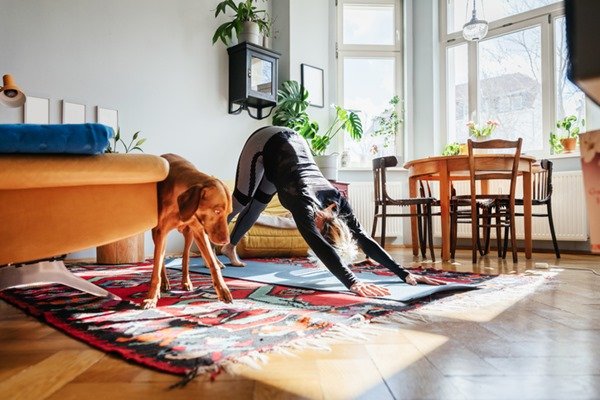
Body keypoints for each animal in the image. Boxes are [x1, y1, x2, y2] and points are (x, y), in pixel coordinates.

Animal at [142, 154, 232, 310]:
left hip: (189, 234)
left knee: (185, 257)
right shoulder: (161, 232)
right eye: (217, 211)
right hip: (157, 234)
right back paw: (164, 282)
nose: (226, 241)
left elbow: (213, 264)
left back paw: (186, 281)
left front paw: (223, 289)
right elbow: (157, 267)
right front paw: (152, 297)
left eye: (228, 213)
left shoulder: (199, 231)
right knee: (162, 259)